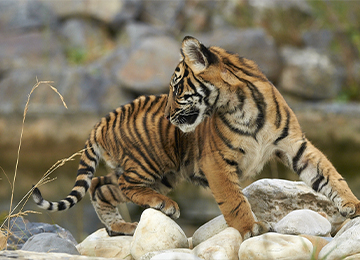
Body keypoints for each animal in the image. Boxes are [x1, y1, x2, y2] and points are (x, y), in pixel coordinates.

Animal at [32, 35, 358, 239]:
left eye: (177, 89)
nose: (166, 116)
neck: (246, 107)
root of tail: (100, 121)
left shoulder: (296, 146)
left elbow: (331, 175)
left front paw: (352, 204)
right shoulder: (217, 162)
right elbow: (233, 199)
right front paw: (250, 229)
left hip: (160, 174)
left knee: (100, 185)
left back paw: (122, 227)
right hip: (151, 163)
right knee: (121, 184)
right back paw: (163, 205)